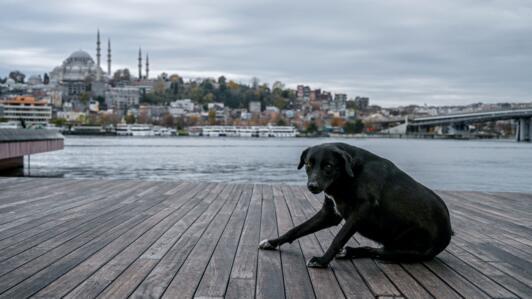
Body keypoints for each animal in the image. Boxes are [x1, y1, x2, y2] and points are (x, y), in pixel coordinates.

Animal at [260, 143, 450, 270]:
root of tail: (449, 232)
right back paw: (350, 252)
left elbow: (338, 238)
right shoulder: (329, 214)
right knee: (377, 249)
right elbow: (296, 229)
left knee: (381, 252)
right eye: (308, 164)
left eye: (328, 165)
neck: (349, 175)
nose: (312, 186)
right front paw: (272, 242)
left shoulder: (360, 213)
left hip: (409, 246)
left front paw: (322, 261)